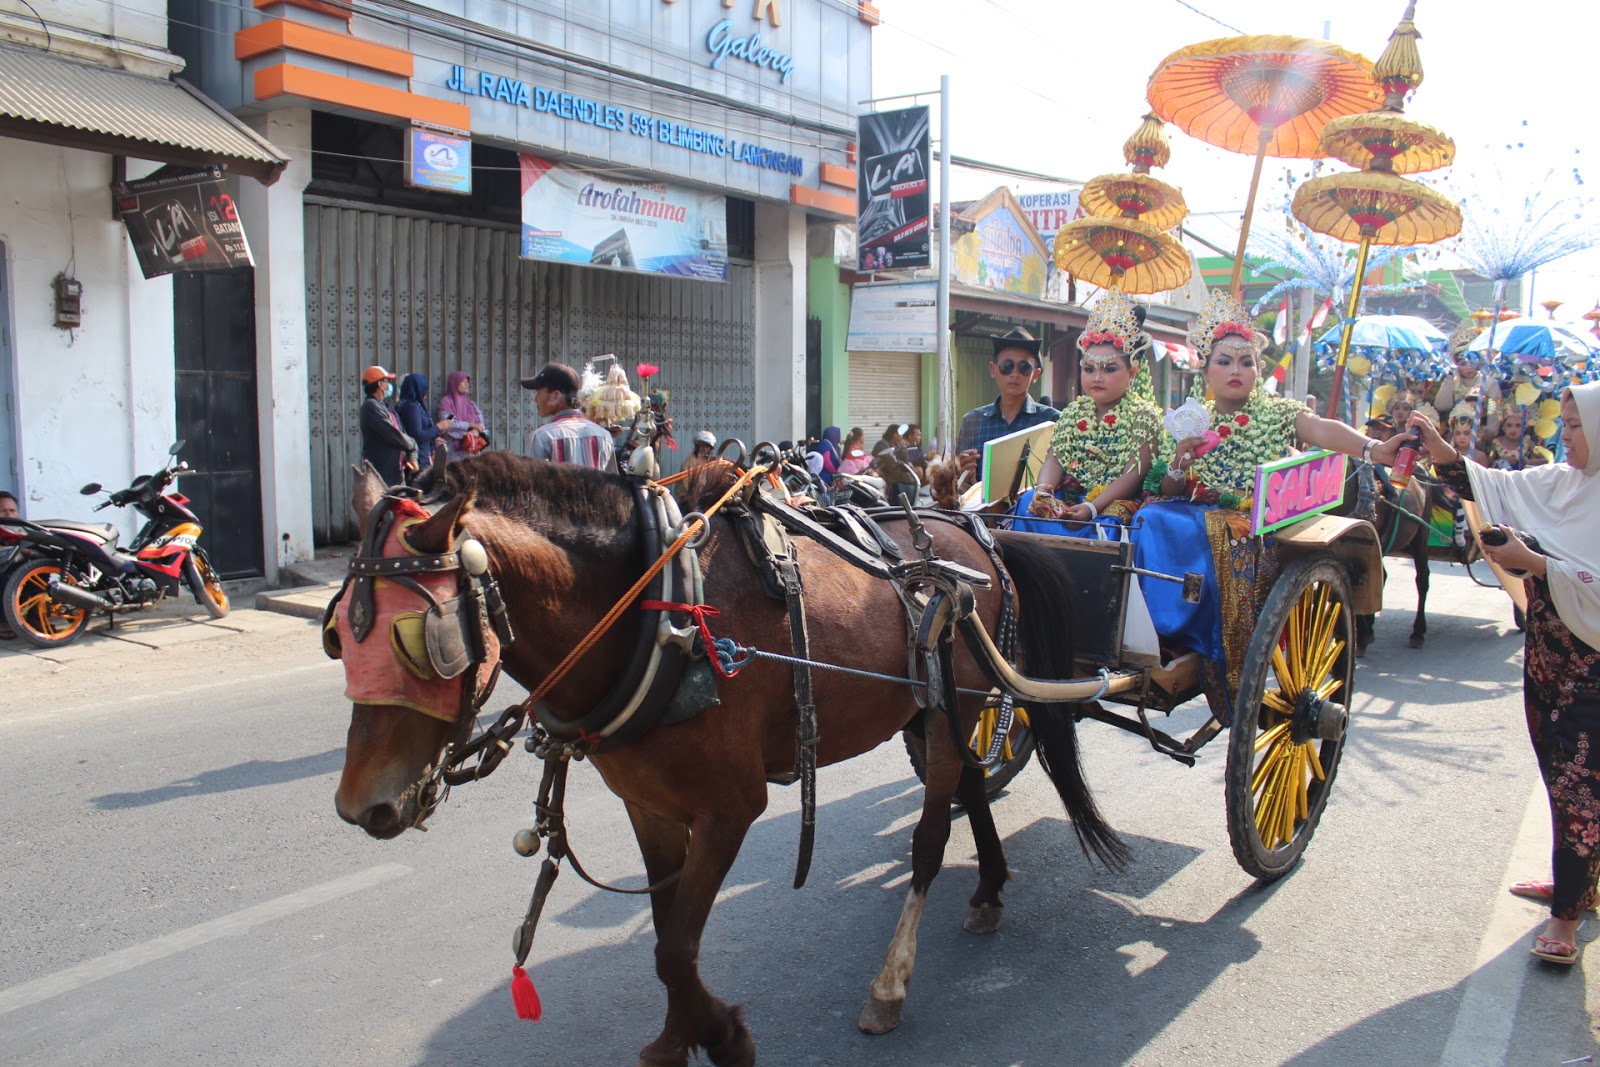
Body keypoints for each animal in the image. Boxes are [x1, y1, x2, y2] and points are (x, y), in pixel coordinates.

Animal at [329, 454, 1120, 1067]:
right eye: (338, 636)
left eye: (417, 638)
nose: (360, 806)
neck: (661, 614)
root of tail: (976, 530)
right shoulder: (647, 804)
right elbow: (664, 929)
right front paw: (678, 1037)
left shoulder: (730, 808)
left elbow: (676, 947)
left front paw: (723, 1036)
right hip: (939, 712)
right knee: (974, 786)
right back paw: (987, 888)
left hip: (954, 710)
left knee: (928, 842)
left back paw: (890, 983)